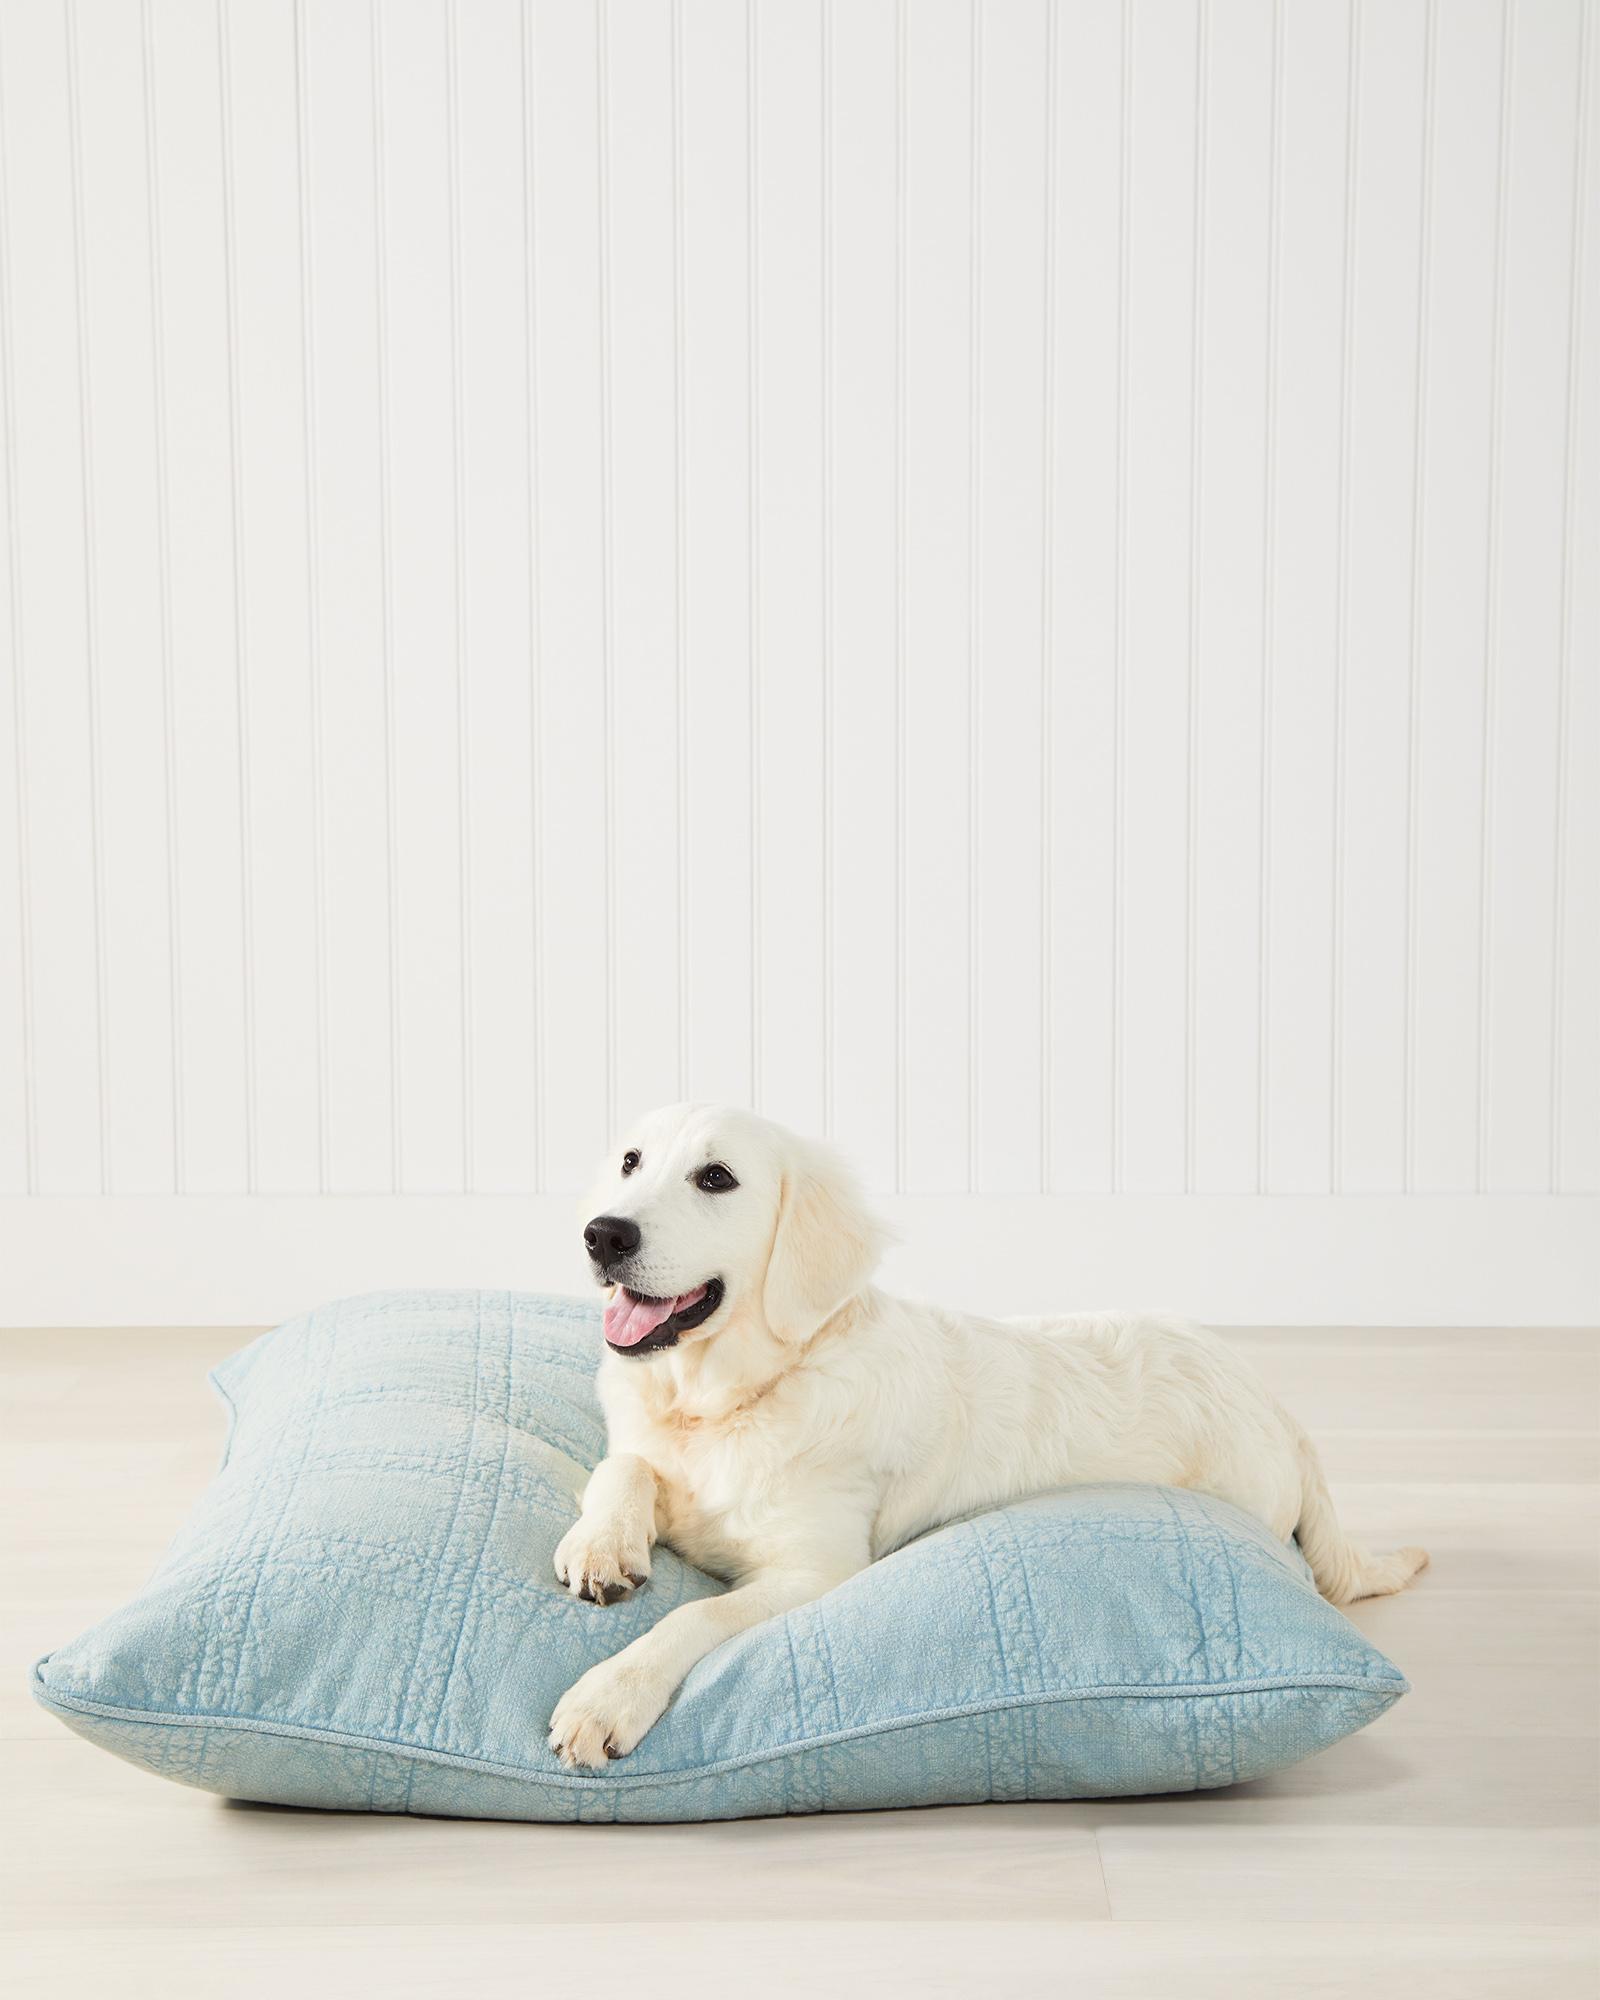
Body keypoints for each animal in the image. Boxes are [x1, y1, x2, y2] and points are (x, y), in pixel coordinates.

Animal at [548, 1104, 1424, 1776]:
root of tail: (1275, 1405)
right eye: (630, 1162)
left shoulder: (814, 1573)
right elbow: (623, 1467)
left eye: (716, 1178)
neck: (726, 1401)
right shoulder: (652, 1448)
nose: (601, 1234)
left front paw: (607, 1694)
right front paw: (601, 1543)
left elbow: (692, 1616)